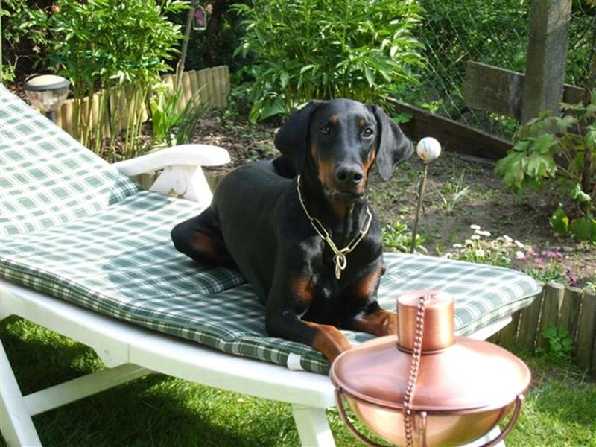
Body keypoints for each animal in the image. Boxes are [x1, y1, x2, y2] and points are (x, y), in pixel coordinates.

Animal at [171, 98, 413, 362]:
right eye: (325, 129)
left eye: (368, 131)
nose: (349, 175)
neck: (338, 233)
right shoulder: (281, 313)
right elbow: (330, 333)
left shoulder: (361, 309)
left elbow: (395, 321)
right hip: (184, 234)